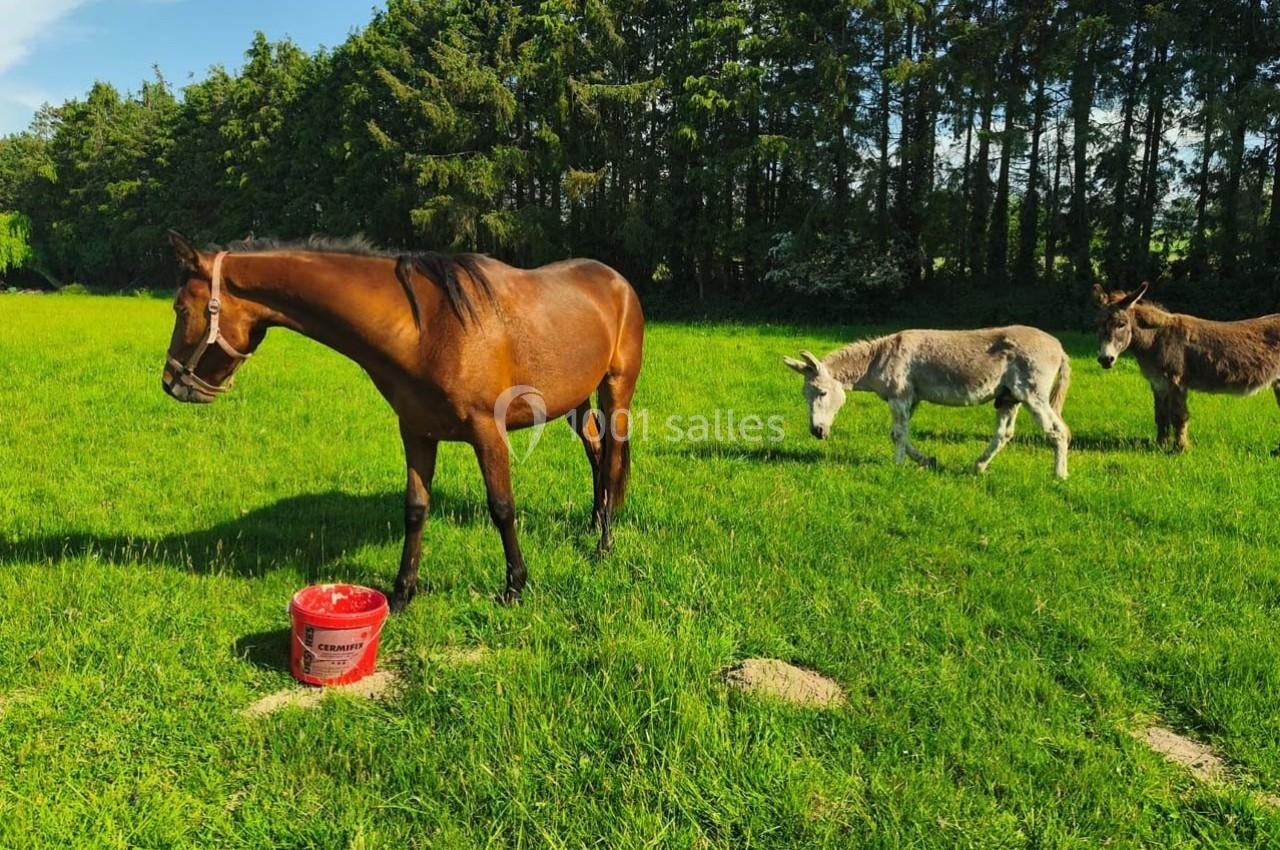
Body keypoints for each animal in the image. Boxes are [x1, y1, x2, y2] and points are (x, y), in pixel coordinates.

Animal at [162, 232, 644, 609]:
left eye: (181, 308)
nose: (171, 382)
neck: (426, 328)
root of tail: (618, 281)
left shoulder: (488, 433)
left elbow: (502, 507)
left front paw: (514, 586)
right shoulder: (416, 432)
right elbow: (415, 509)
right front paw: (402, 591)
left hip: (614, 390)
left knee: (612, 459)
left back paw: (604, 543)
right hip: (575, 400)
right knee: (596, 452)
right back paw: (595, 521)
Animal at [784, 326, 1072, 479]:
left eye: (822, 393)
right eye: (805, 396)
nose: (817, 432)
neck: (881, 357)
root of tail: (1059, 348)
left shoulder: (900, 397)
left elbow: (898, 434)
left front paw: (897, 466)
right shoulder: (911, 399)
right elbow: (897, 434)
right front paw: (926, 461)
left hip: (1033, 395)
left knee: (1058, 432)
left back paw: (1059, 475)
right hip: (1009, 398)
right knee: (1004, 434)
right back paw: (978, 467)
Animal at [1094, 282, 1280, 453]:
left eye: (1121, 324)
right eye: (1098, 325)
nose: (1105, 359)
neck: (1156, 338)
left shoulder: (1176, 381)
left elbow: (1179, 416)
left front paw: (1181, 449)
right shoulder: (1158, 383)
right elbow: (1161, 415)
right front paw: (1160, 445)